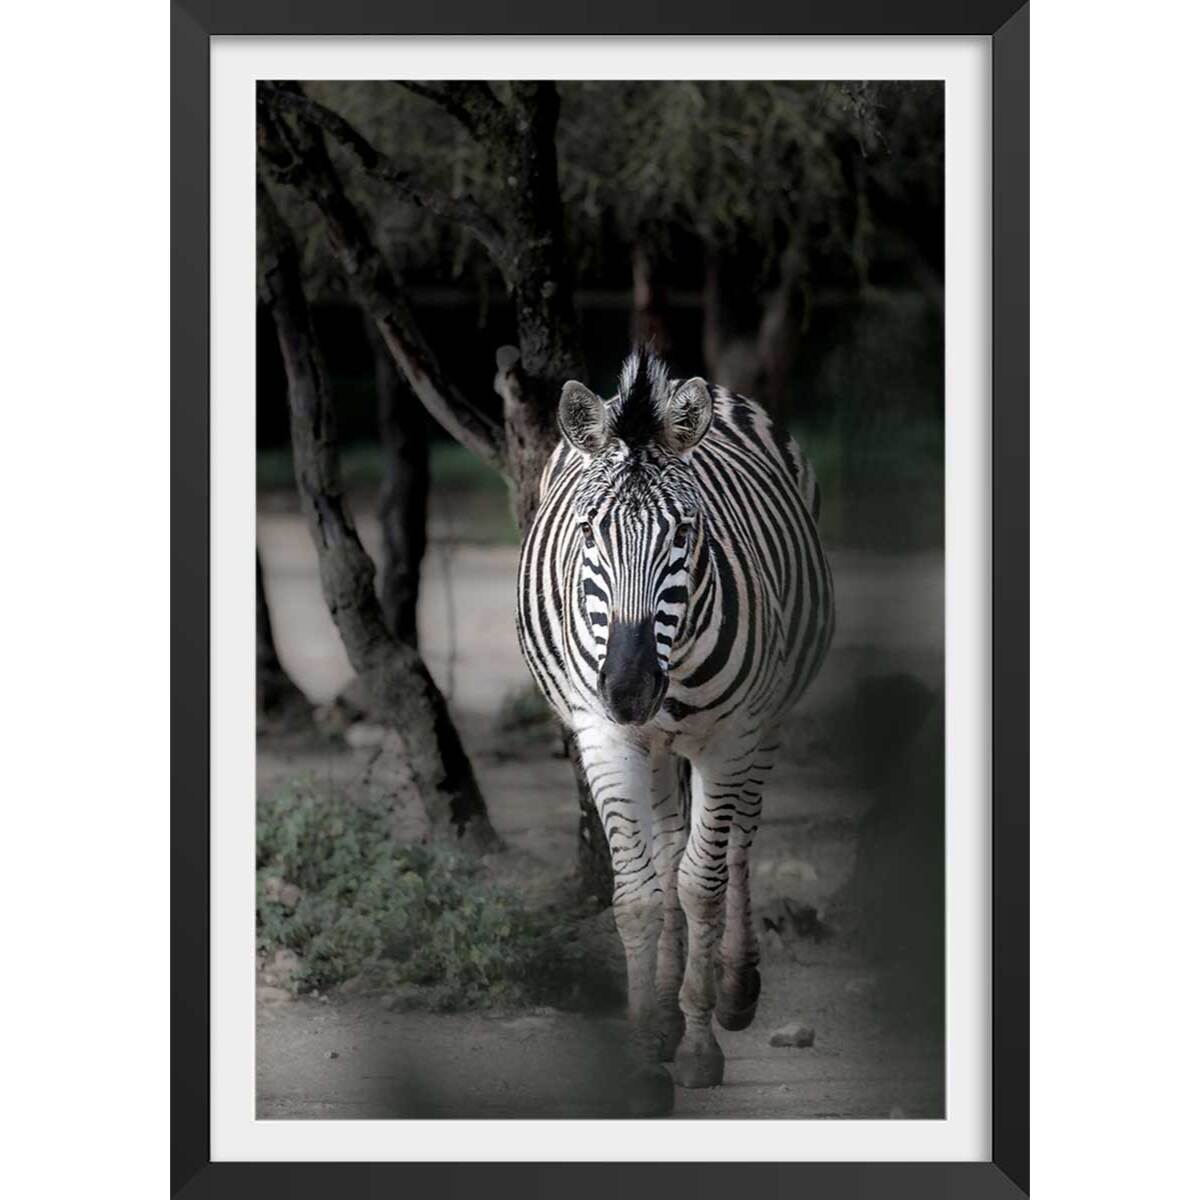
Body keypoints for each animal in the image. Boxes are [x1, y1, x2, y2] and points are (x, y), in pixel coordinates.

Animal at [516, 347, 834, 1115]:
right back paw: (661, 1013)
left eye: (685, 535)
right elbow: (639, 897)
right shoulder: (605, 736)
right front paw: (644, 1054)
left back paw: (735, 990)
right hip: (655, 748)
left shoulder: (730, 739)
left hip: (766, 722)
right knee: (664, 850)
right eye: (588, 532)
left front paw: (697, 1047)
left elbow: (702, 886)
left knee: (740, 842)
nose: (630, 688)